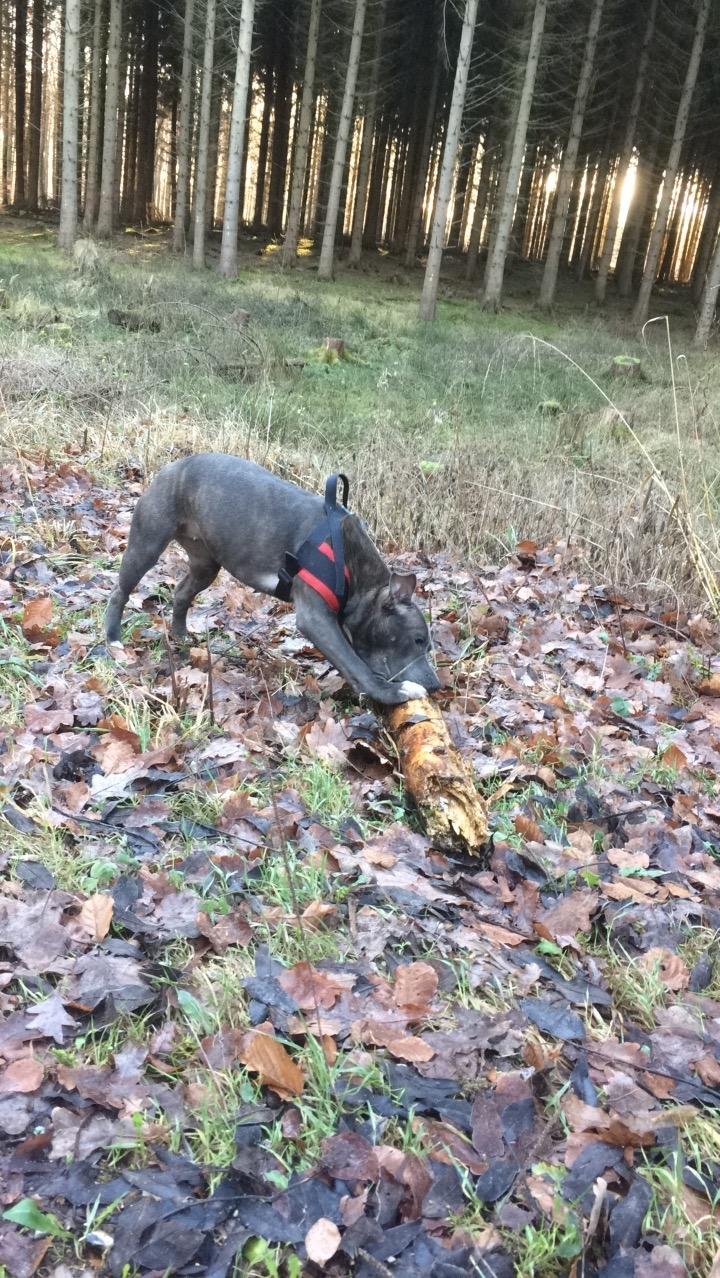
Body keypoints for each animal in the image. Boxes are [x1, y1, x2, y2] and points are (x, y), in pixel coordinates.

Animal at [105, 452, 439, 710]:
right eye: (418, 640)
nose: (436, 685)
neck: (354, 569)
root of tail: (171, 466)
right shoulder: (316, 618)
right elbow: (354, 663)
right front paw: (393, 693)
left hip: (206, 564)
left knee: (182, 593)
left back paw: (182, 637)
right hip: (147, 544)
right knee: (120, 591)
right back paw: (113, 639)